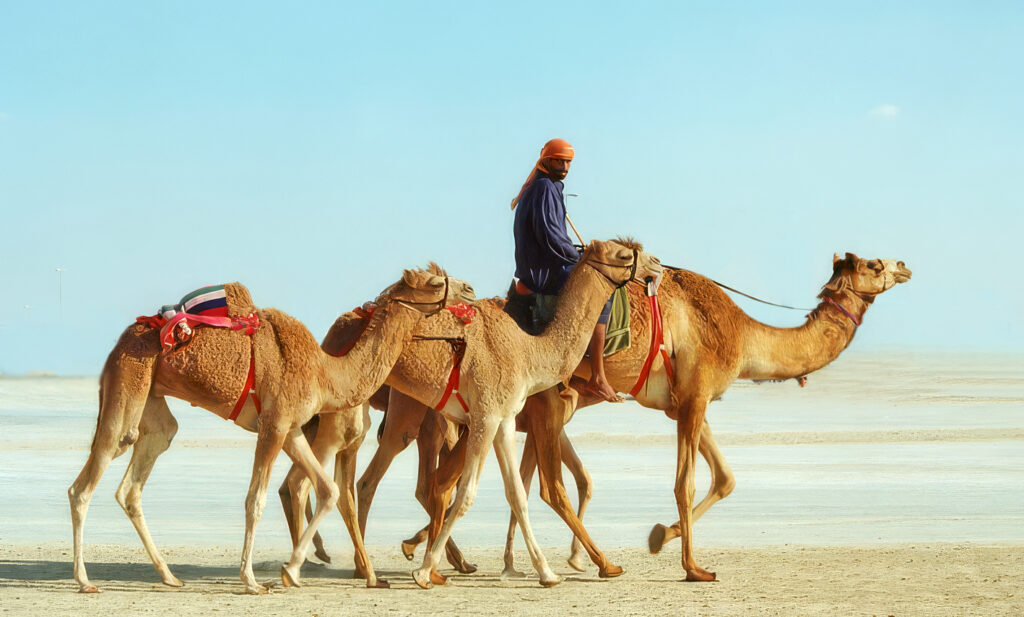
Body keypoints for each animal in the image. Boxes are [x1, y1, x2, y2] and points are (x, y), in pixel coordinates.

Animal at [67, 267, 468, 594]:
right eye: (435, 282)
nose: (468, 289)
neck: (325, 373)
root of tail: (124, 338)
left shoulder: (291, 429)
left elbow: (328, 489)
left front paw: (291, 571)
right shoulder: (273, 426)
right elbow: (255, 500)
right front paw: (252, 581)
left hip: (152, 401)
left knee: (134, 483)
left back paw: (169, 576)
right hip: (129, 383)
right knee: (85, 483)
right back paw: (85, 581)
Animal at [280, 239, 662, 588]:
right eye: (623, 254)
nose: (656, 264)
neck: (528, 350)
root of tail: (334, 330)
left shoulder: (504, 420)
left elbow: (517, 495)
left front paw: (546, 573)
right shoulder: (486, 417)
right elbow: (466, 494)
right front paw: (423, 572)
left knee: (338, 482)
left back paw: (356, 568)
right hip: (367, 413)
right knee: (314, 481)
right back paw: (312, 567)